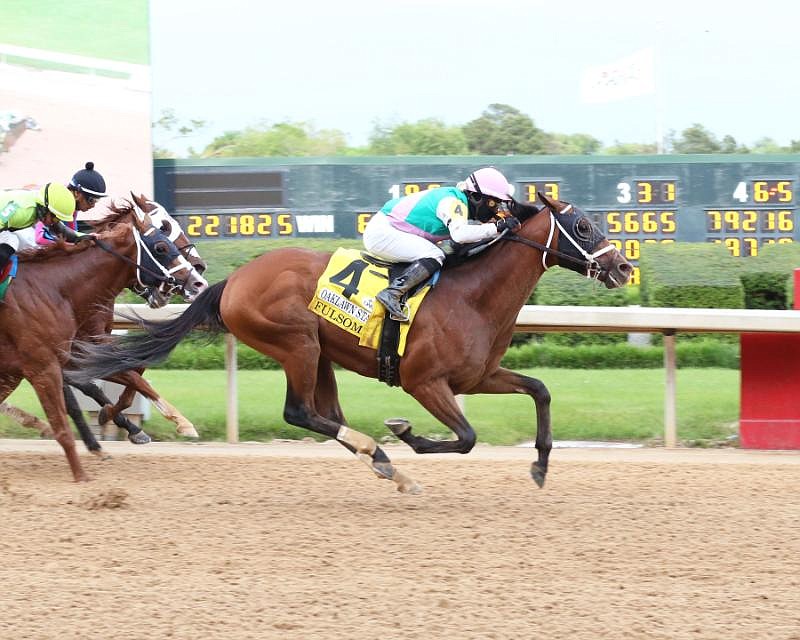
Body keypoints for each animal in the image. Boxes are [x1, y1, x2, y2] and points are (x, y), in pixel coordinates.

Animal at [0, 204, 198, 480]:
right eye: (161, 245)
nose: (197, 280)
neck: (59, 288)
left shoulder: (77, 354)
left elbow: (132, 372)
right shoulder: (52, 361)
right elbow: (87, 396)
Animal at [67, 192, 632, 492]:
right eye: (583, 224)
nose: (624, 267)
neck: (472, 296)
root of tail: (232, 281)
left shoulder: (479, 376)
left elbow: (539, 389)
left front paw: (540, 465)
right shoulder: (425, 382)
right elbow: (467, 436)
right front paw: (406, 434)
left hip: (320, 353)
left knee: (325, 414)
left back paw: (383, 464)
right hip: (296, 343)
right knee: (300, 412)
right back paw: (380, 454)